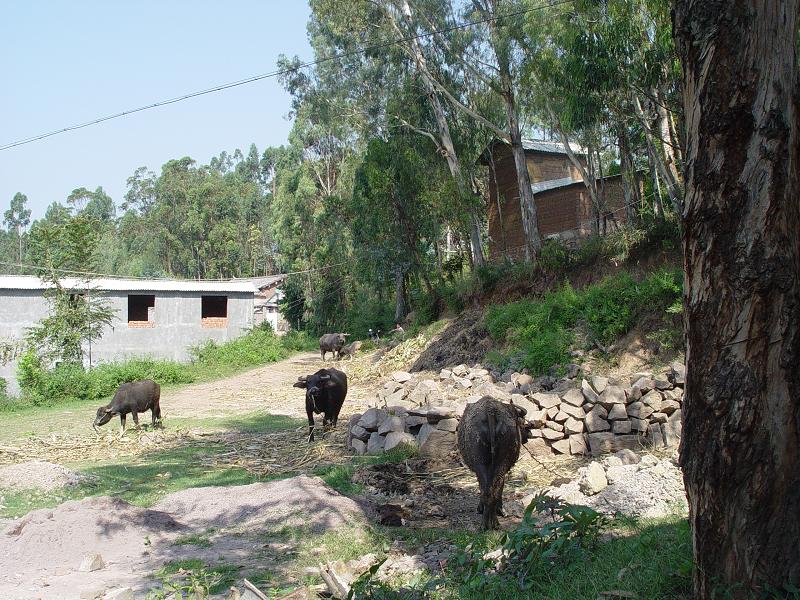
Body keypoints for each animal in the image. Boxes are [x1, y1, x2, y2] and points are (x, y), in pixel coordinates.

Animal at [456, 398, 532, 528]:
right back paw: (492, 522)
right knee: (492, 490)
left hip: (483, 464)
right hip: (500, 464)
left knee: (490, 490)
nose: (528, 434)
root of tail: (490, 413)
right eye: (521, 421)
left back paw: (489, 521)